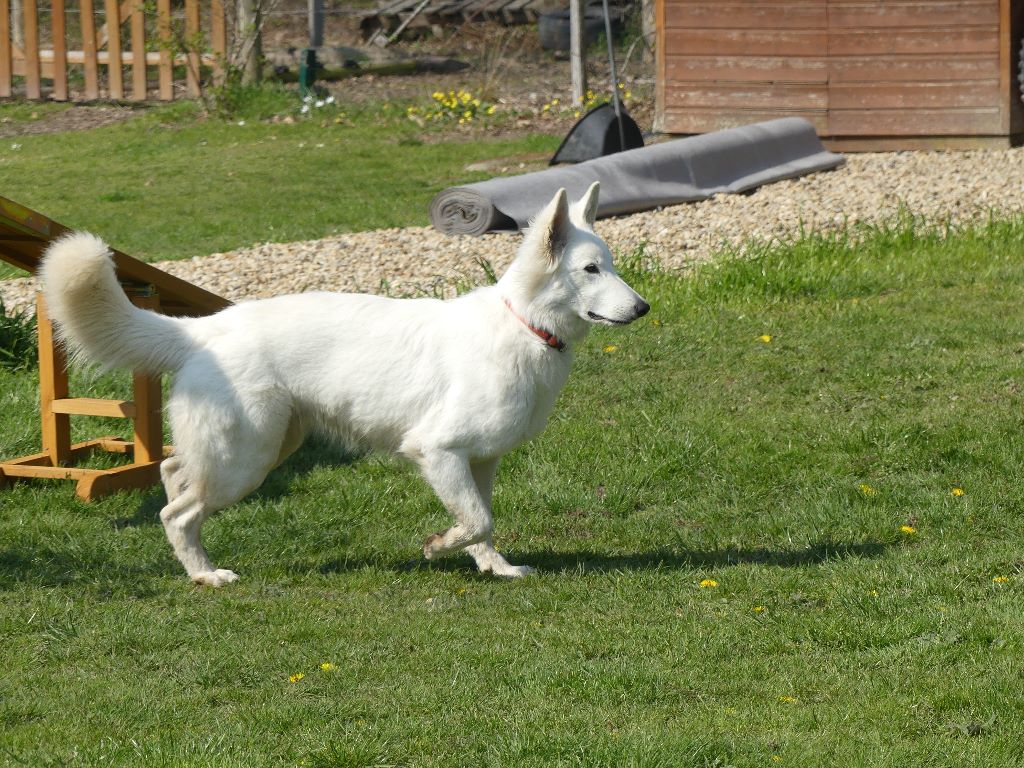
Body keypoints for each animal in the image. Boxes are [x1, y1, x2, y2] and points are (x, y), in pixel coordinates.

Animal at [41, 183, 647, 585]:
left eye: (612, 265)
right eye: (591, 270)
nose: (643, 308)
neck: (522, 323)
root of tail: (204, 330)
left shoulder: (480, 462)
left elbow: (484, 522)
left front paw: (495, 567)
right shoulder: (437, 451)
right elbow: (475, 519)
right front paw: (438, 547)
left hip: (260, 447)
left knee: (171, 473)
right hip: (246, 460)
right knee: (177, 513)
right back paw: (206, 575)